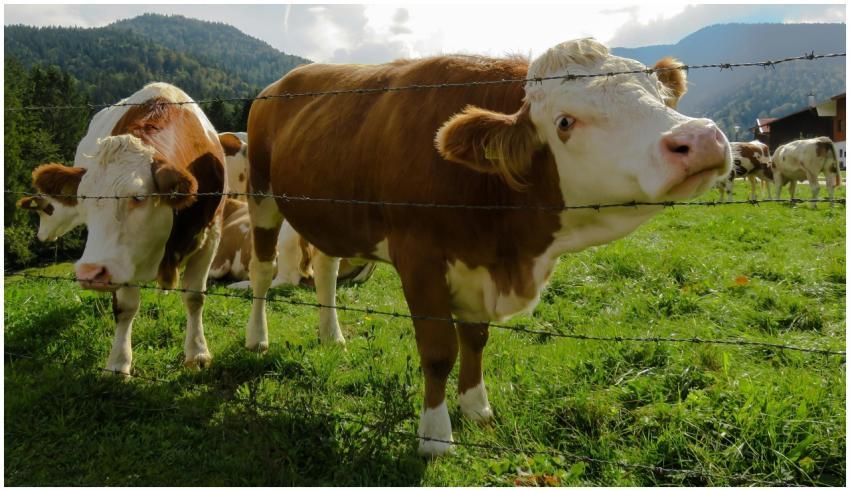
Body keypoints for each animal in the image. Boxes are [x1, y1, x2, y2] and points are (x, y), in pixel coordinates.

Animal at [31, 82, 226, 375]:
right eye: (83, 198)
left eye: (139, 196)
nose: (90, 273)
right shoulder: (121, 258)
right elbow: (125, 306)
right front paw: (118, 362)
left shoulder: (211, 235)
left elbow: (194, 297)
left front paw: (198, 353)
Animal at [244, 38, 731, 456]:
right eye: (565, 122)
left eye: (661, 97)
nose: (700, 138)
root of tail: (280, 83)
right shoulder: (419, 258)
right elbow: (439, 350)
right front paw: (435, 436)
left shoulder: (476, 264)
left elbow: (475, 339)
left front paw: (476, 407)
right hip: (260, 192)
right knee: (262, 270)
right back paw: (257, 338)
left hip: (329, 213)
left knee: (326, 266)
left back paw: (332, 337)